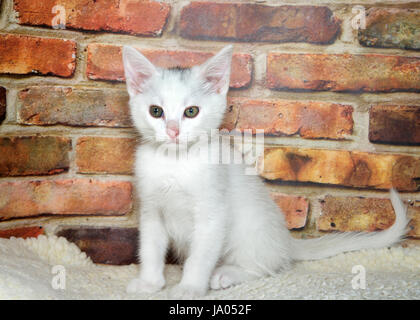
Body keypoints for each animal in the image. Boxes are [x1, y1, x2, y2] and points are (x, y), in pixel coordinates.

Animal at [122, 44, 410, 298]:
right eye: (156, 111)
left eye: (191, 111)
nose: (173, 131)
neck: (176, 163)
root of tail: (286, 241)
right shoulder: (152, 211)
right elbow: (150, 249)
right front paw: (150, 283)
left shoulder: (212, 213)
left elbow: (200, 257)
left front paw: (189, 288)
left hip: (251, 229)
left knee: (266, 267)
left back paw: (227, 274)